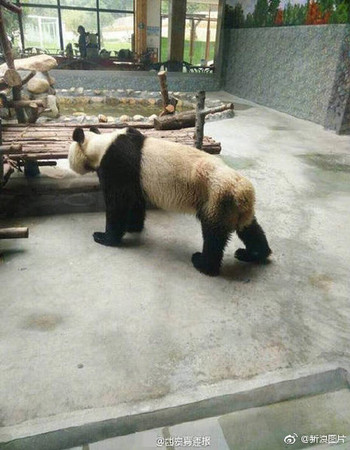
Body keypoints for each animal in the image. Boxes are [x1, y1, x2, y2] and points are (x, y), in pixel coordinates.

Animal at [68, 125, 270, 276]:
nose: (71, 166)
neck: (101, 145)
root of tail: (242, 191)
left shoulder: (117, 164)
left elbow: (118, 203)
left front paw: (104, 236)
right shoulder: (135, 177)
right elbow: (135, 200)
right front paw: (133, 227)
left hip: (217, 198)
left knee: (213, 235)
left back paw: (203, 263)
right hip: (235, 207)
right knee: (250, 228)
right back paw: (254, 254)